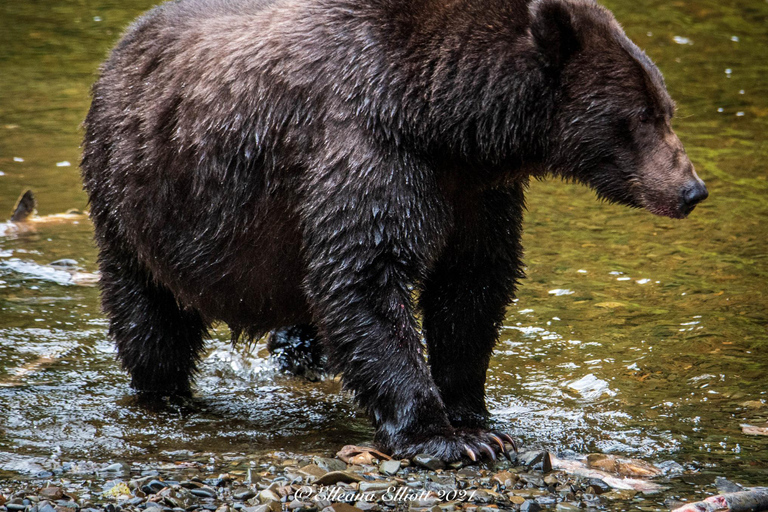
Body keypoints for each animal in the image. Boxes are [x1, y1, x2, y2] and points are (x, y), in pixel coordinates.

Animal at [81, 0, 707, 462]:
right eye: (643, 115)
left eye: (666, 106)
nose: (692, 189)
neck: (444, 121)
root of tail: (122, 43)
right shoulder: (372, 150)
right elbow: (367, 277)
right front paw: (446, 440)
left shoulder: (476, 194)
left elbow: (472, 285)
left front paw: (476, 416)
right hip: (137, 201)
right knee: (150, 316)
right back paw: (167, 396)